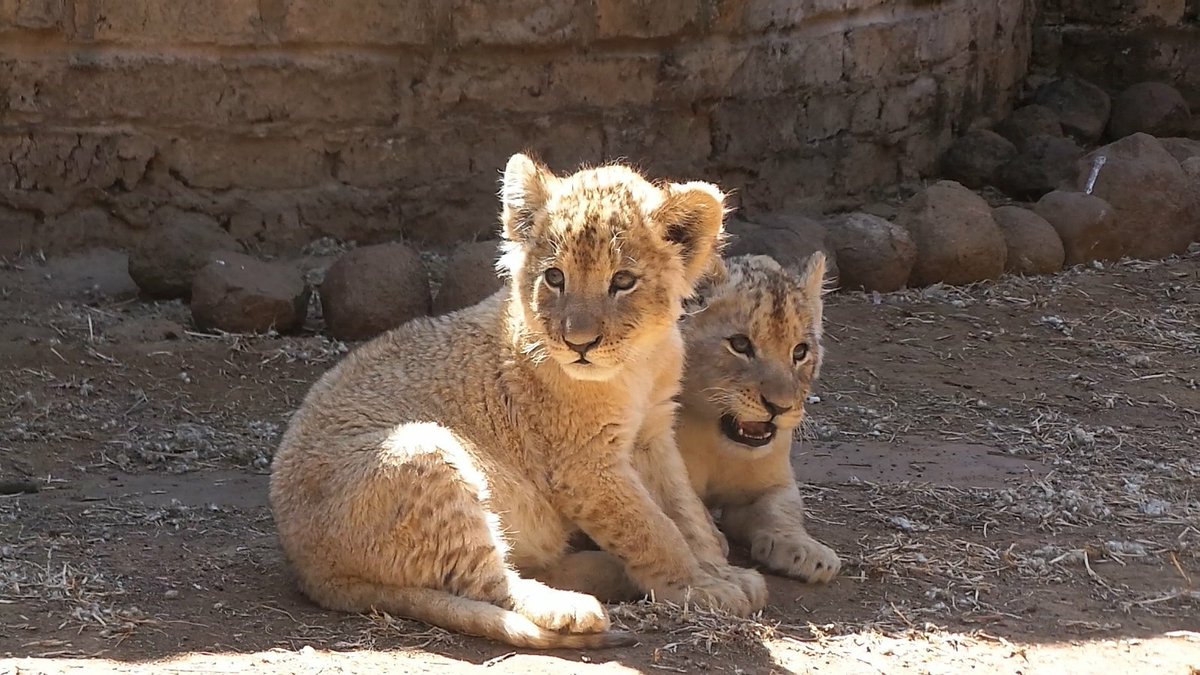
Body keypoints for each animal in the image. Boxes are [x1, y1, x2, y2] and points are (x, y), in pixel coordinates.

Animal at [269, 154, 765, 650]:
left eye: (623, 281)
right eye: (555, 277)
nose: (579, 344)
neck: (637, 365)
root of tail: (312, 569)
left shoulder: (654, 433)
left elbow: (684, 512)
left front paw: (722, 571)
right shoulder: (583, 467)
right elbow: (653, 530)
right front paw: (700, 587)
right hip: (419, 450)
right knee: (489, 583)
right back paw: (572, 606)